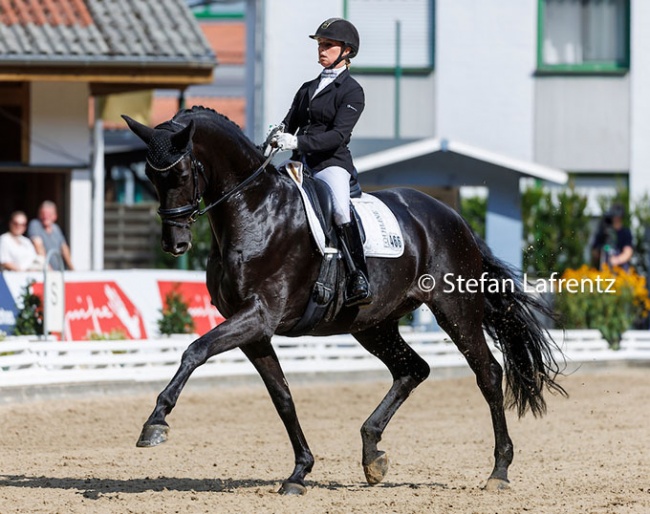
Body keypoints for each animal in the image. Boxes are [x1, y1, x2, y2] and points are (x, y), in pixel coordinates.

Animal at [123, 107, 560, 492]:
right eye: (148, 176)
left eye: (181, 172)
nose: (175, 244)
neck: (254, 210)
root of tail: (454, 218)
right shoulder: (253, 329)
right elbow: (282, 396)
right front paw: (299, 472)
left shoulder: (259, 316)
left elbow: (195, 350)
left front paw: (155, 422)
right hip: (372, 324)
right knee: (412, 369)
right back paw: (372, 453)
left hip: (454, 309)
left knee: (488, 374)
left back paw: (499, 471)